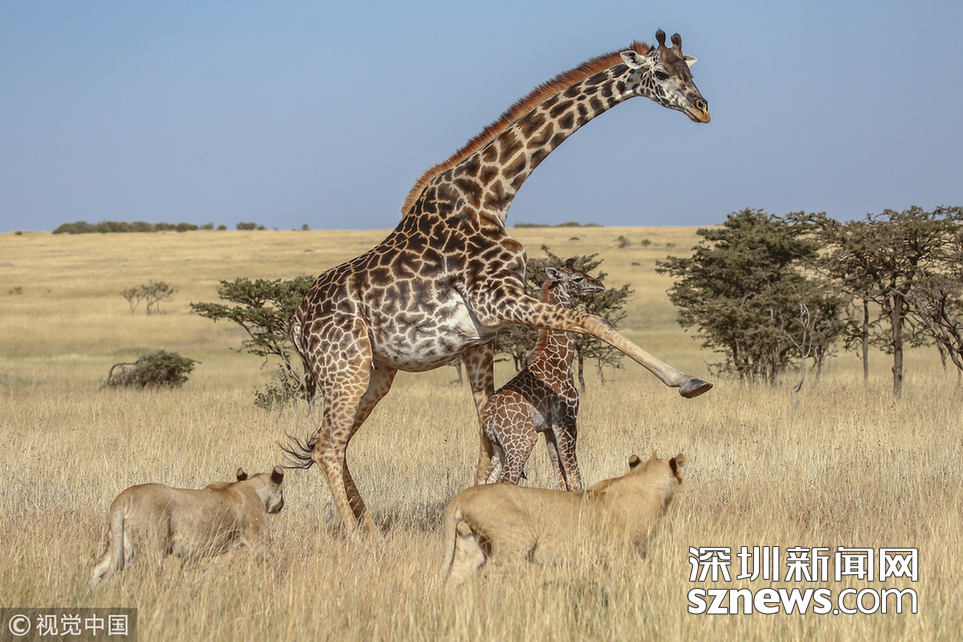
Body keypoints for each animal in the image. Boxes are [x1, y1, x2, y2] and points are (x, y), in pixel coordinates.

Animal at [89, 466, 285, 589]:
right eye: (282, 491)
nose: (283, 504)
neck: (251, 487)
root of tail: (124, 497)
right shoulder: (259, 539)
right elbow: (274, 563)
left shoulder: (194, 554)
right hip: (153, 547)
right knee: (144, 575)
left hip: (122, 544)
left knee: (98, 567)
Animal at [440, 451, 685, 588]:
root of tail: (463, 495)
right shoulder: (622, 550)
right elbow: (644, 573)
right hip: (517, 539)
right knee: (488, 577)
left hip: (470, 546)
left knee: (453, 580)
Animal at [480, 259, 603, 491]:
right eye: (577, 278)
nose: (599, 284)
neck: (561, 359)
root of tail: (487, 416)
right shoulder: (567, 419)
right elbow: (574, 478)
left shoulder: (548, 428)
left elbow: (560, 479)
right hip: (522, 441)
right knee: (505, 480)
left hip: (498, 447)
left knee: (483, 480)